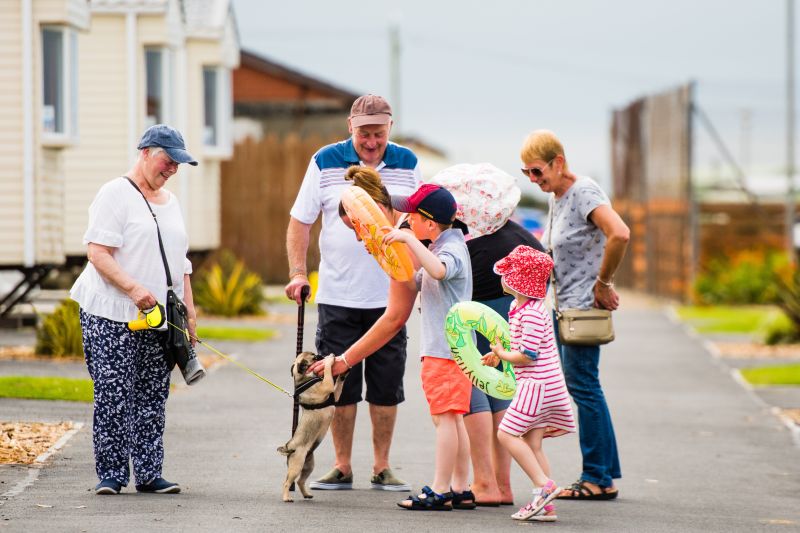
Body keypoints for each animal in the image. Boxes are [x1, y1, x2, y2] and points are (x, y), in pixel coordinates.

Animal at [278, 352, 344, 500]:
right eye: (314, 357)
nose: (321, 355)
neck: (304, 379)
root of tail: (289, 447)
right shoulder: (327, 385)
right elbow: (328, 372)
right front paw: (329, 361)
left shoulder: (335, 394)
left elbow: (339, 382)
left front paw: (344, 373)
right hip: (297, 466)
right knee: (287, 482)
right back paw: (287, 497)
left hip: (308, 466)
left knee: (300, 481)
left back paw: (306, 494)